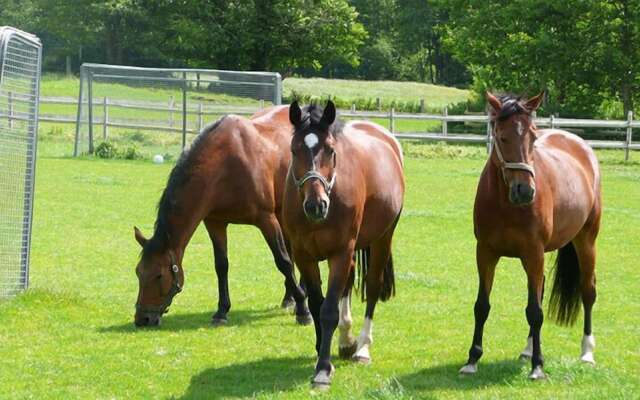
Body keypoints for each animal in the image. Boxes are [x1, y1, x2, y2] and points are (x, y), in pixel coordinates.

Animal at [132, 106, 310, 328]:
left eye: (159, 275)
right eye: (138, 272)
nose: (142, 319)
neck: (226, 163)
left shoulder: (266, 220)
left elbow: (283, 261)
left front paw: (303, 309)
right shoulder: (215, 222)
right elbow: (221, 266)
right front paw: (221, 311)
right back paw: (288, 298)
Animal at [282, 101, 402, 390]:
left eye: (330, 150)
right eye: (294, 150)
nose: (316, 205)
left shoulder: (340, 252)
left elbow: (328, 310)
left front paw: (323, 370)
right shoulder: (304, 255)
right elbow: (317, 305)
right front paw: (320, 351)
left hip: (382, 238)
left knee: (372, 286)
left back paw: (362, 348)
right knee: (347, 286)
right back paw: (346, 341)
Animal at [460, 92, 600, 380]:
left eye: (533, 137)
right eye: (502, 137)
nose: (524, 190)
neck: (506, 205)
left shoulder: (533, 253)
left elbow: (535, 312)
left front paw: (538, 366)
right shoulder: (486, 253)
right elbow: (482, 306)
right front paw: (472, 359)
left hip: (586, 241)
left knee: (588, 291)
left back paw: (587, 352)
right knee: (542, 289)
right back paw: (527, 349)